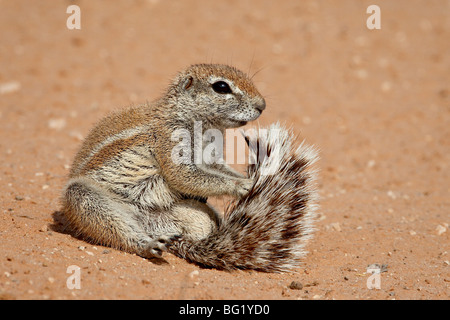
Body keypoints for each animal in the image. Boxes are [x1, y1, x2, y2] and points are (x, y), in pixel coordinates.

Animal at [61, 63, 318, 272]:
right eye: (221, 87)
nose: (262, 105)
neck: (204, 126)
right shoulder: (171, 143)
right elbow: (185, 176)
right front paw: (242, 185)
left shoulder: (211, 157)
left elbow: (215, 171)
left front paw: (245, 178)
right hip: (84, 198)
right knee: (117, 229)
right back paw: (147, 245)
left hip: (189, 216)